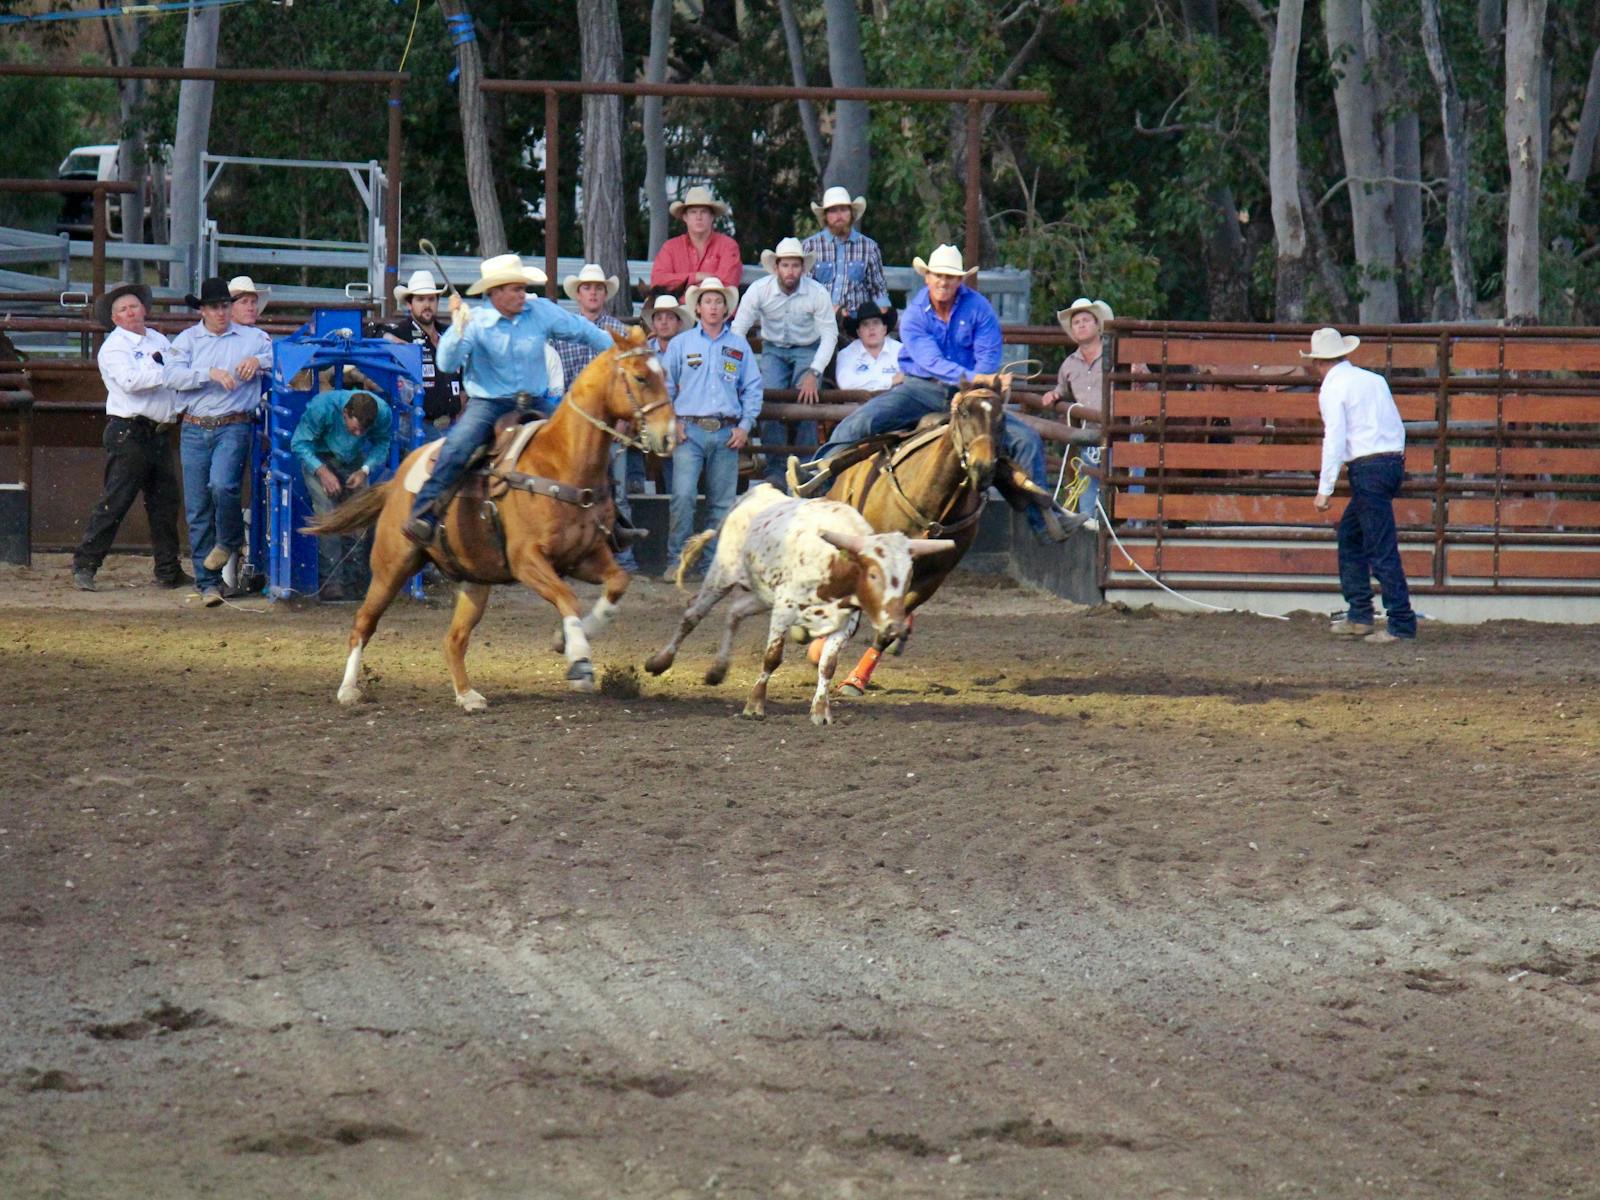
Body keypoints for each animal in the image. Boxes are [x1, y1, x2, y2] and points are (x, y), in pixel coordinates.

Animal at [307, 324, 675, 710]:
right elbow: (568, 597)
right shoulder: (527, 561)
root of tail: (396, 482)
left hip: (475, 580)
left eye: (664, 375)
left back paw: (467, 695)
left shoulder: (584, 556)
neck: (561, 462)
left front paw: (569, 638)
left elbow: (618, 583)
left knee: (453, 640)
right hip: (392, 566)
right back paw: (349, 689)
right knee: (363, 623)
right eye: (640, 376)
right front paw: (579, 659)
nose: (669, 435)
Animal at [812, 376, 998, 694]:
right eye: (964, 413)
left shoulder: (932, 579)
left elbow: (886, 628)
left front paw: (855, 680)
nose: (983, 468)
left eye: (1001, 418)